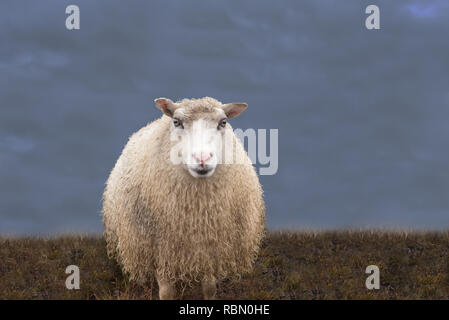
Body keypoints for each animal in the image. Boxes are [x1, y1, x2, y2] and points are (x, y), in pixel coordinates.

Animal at [101, 96, 264, 298]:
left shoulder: (211, 245)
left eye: (223, 122)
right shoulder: (160, 249)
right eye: (177, 122)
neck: (196, 212)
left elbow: (209, 288)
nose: (202, 158)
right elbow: (166, 292)